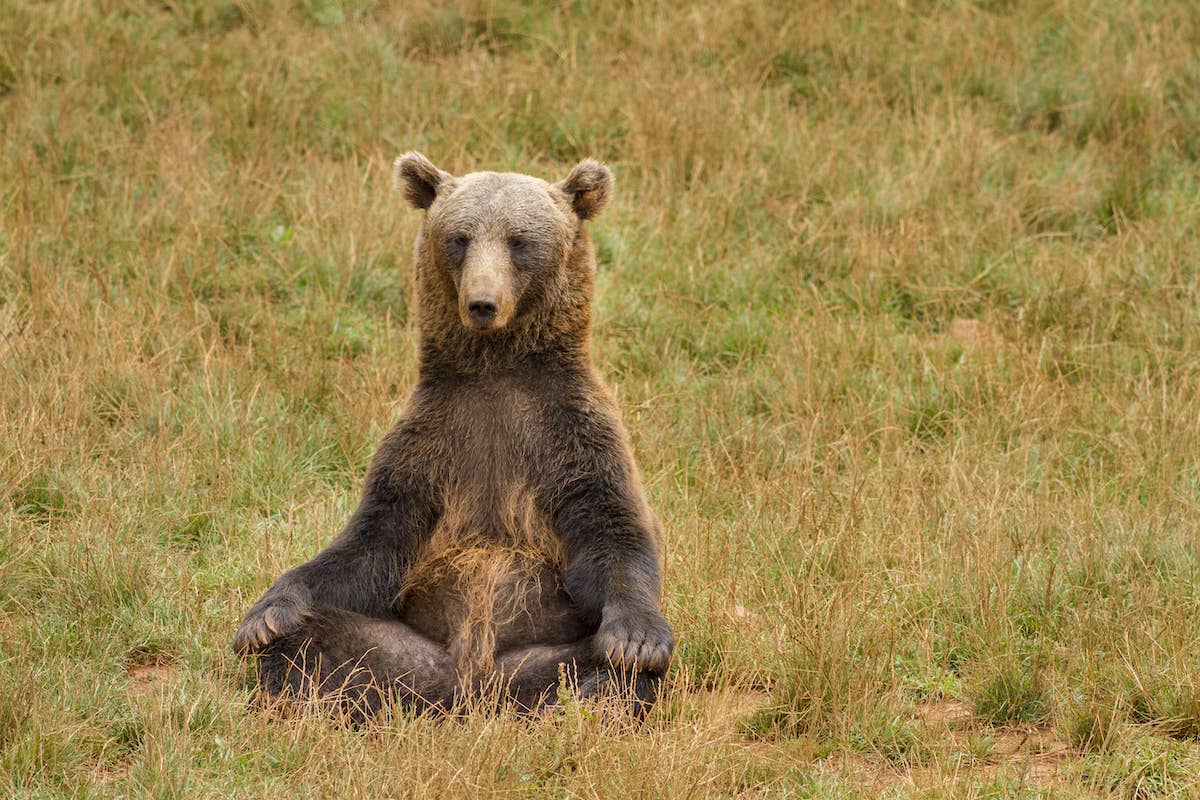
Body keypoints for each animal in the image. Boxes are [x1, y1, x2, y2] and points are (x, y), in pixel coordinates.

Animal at [232, 152, 674, 720]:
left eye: (518, 239)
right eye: (461, 237)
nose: (482, 302)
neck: (498, 369)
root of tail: (470, 691)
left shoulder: (571, 431)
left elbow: (613, 531)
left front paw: (636, 640)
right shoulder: (429, 441)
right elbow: (370, 545)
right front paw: (265, 615)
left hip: (544, 659)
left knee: (602, 671)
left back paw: (589, 700)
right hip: (402, 653)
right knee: (317, 646)